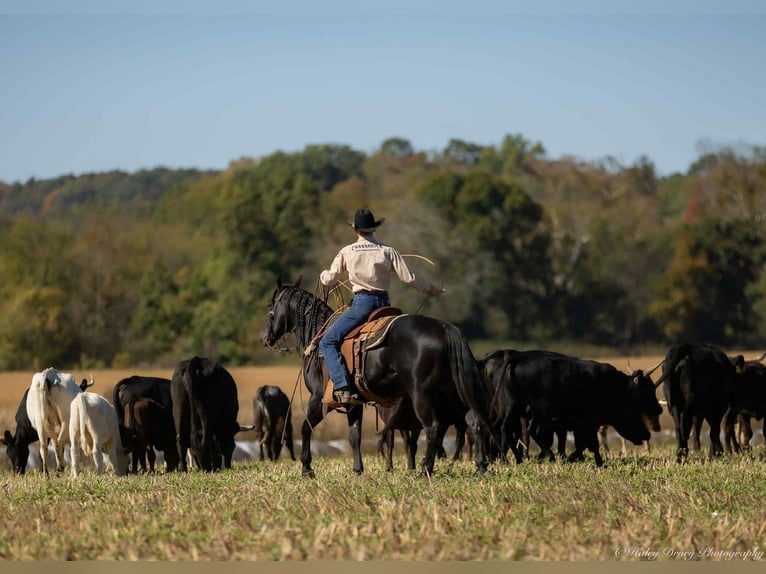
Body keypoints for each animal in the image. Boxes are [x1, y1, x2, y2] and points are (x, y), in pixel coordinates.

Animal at [259, 278, 498, 477]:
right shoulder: (353, 401)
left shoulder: (318, 399)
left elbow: (306, 428)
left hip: (422, 393)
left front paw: (307, 468)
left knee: (433, 427)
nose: (264, 337)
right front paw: (357, 470)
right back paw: (480, 466)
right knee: (473, 419)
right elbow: (354, 436)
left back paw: (425, 470)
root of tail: (444, 327)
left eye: (271, 306)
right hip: (452, 391)